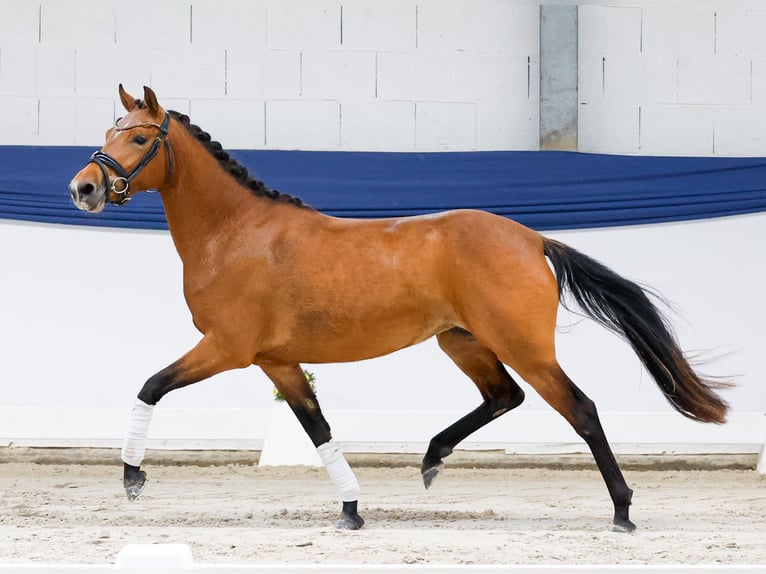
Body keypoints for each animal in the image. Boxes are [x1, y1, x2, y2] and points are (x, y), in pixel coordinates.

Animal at [69, 85, 730, 533]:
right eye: (107, 133)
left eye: (137, 137)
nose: (84, 188)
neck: (235, 233)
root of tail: (532, 239)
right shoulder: (277, 362)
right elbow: (318, 430)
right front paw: (351, 511)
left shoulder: (227, 349)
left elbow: (151, 386)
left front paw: (132, 479)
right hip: (462, 340)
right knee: (504, 396)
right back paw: (432, 459)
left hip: (523, 346)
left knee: (580, 409)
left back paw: (622, 511)